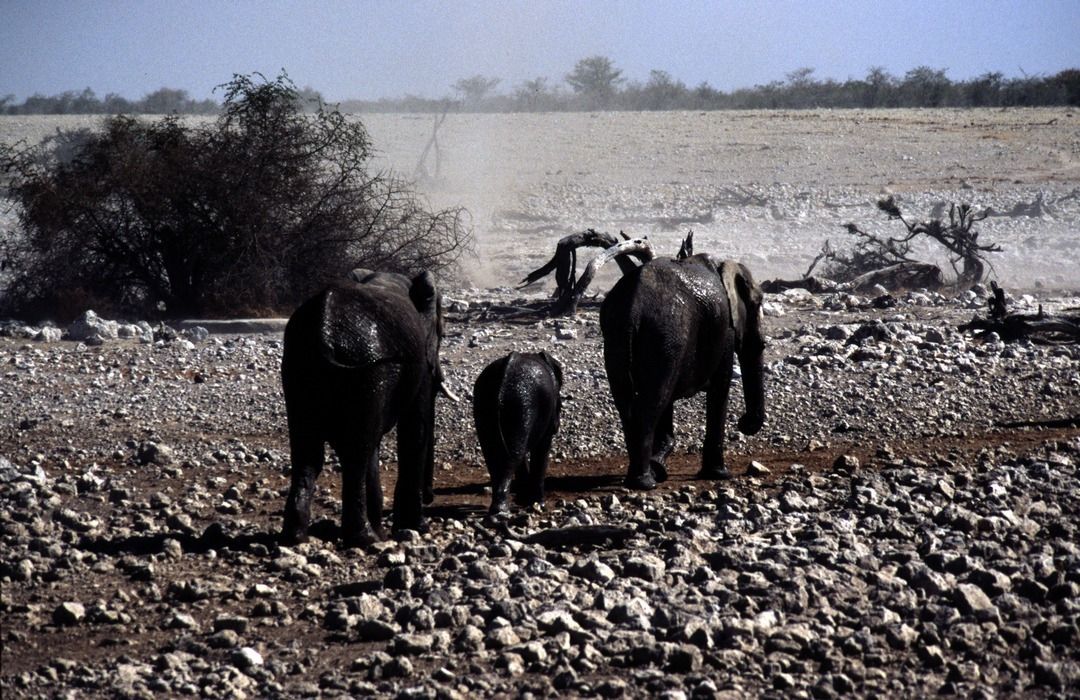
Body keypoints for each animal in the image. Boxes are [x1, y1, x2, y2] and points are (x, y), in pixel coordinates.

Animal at [278, 267, 455, 546]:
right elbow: (415, 429)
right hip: (367, 368)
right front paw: (418, 528)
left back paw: (295, 536)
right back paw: (365, 538)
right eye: (443, 334)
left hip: (299, 369)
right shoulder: (416, 361)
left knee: (309, 452)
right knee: (356, 452)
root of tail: (323, 332)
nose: (431, 497)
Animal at [477, 352, 570, 512]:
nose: (557, 426)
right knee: (512, 456)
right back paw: (501, 510)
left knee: (495, 455)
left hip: (484, 405)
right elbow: (542, 450)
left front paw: (525, 500)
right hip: (520, 406)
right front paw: (539, 505)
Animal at [600, 253, 768, 490]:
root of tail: (632, 307)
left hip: (619, 337)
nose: (744, 423)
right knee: (652, 402)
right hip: (666, 336)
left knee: (627, 402)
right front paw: (719, 475)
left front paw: (660, 464)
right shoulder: (724, 329)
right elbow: (720, 387)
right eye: (757, 303)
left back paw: (641, 476)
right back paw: (645, 483)